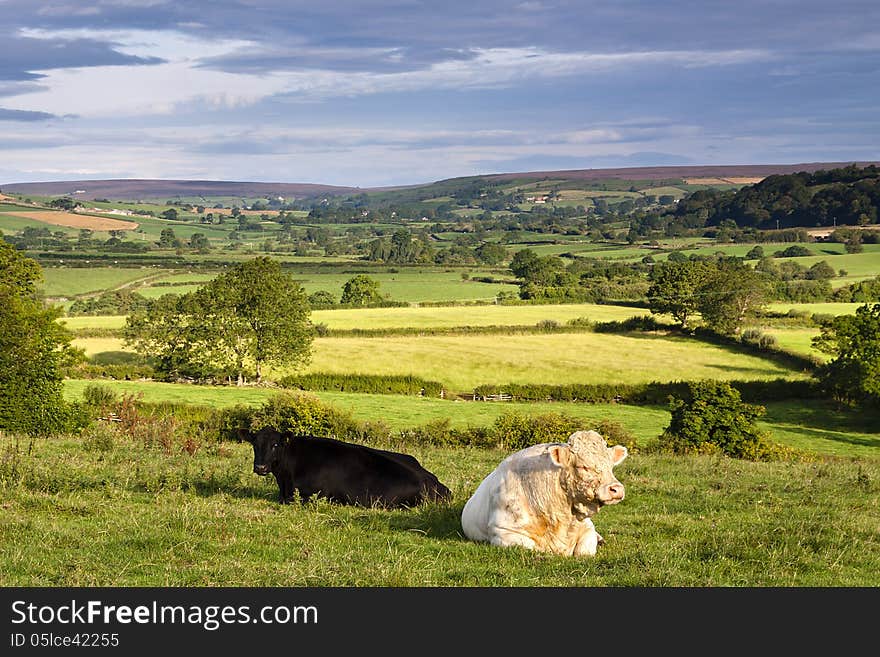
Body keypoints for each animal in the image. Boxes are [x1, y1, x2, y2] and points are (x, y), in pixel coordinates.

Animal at [460, 434, 624, 556]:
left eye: (611, 466)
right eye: (583, 466)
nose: (616, 488)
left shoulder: (587, 527)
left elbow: (584, 552)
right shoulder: (502, 531)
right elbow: (535, 548)